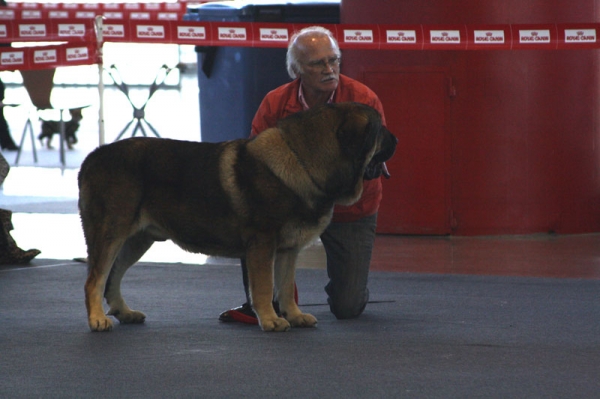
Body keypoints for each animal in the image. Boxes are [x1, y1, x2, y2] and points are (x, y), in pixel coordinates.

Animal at [79, 101, 398, 332]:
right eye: (379, 129)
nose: (396, 139)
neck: (303, 161)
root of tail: (92, 157)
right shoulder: (262, 245)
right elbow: (264, 286)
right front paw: (270, 319)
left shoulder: (288, 250)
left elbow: (285, 286)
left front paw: (294, 316)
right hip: (111, 234)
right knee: (95, 279)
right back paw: (97, 319)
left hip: (137, 240)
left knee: (113, 278)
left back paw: (124, 312)